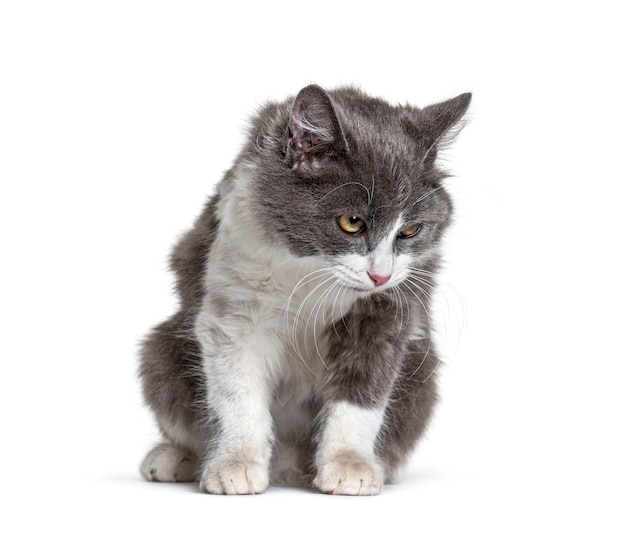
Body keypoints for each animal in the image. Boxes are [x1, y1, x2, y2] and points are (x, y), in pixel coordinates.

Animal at [136, 81, 468, 496]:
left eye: (409, 230)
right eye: (352, 222)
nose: (380, 276)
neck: (313, 272)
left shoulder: (389, 309)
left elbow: (363, 394)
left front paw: (350, 466)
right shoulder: (233, 302)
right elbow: (237, 394)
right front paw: (235, 465)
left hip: (421, 376)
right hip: (161, 351)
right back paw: (174, 457)